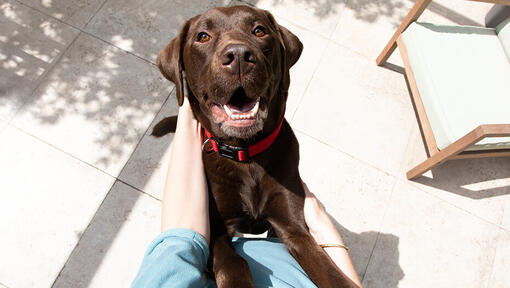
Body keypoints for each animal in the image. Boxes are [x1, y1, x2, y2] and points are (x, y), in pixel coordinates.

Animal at [153, 5, 356, 288]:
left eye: (259, 31)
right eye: (203, 36)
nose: (238, 55)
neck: (245, 155)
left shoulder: (292, 226)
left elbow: (329, 270)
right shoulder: (217, 227)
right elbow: (232, 262)